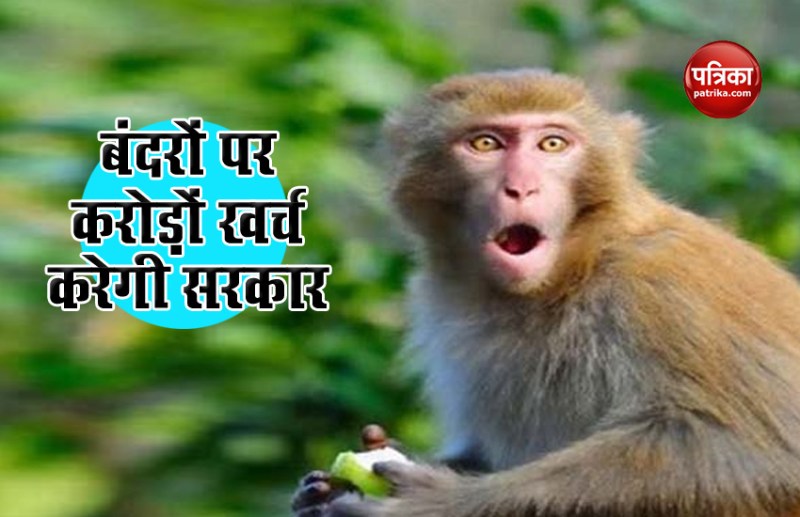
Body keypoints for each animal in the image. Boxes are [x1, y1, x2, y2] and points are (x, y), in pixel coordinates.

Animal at [292, 69, 800, 517]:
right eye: (485, 143)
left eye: (552, 144)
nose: (521, 188)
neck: (569, 275)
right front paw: (323, 489)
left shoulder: (666, 289)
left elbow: (756, 454)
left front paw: (434, 503)